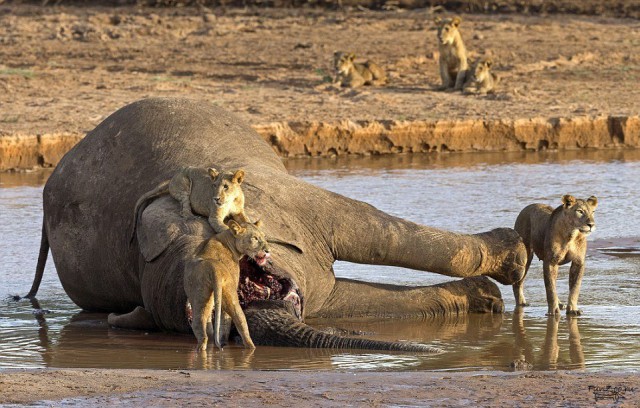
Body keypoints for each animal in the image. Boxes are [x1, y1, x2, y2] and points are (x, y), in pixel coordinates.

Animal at [184, 220, 268, 350]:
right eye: (254, 238)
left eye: (264, 237)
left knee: (200, 323)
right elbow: (225, 320)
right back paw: (250, 347)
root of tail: (214, 268)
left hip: (201, 295)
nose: (268, 251)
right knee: (239, 320)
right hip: (229, 292)